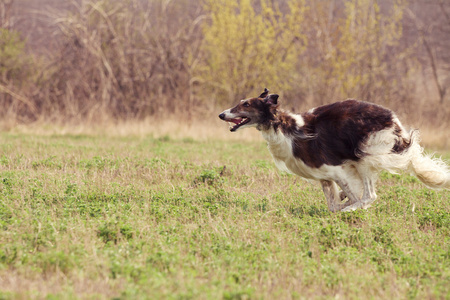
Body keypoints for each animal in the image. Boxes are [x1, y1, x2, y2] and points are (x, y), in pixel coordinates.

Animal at [219, 88, 450, 212]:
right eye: (241, 102)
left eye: (246, 104)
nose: (221, 114)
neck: (286, 129)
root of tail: (395, 122)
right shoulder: (323, 176)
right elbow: (332, 204)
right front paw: (341, 200)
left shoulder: (336, 169)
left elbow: (353, 197)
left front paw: (348, 206)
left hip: (365, 154)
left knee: (370, 195)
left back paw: (351, 210)